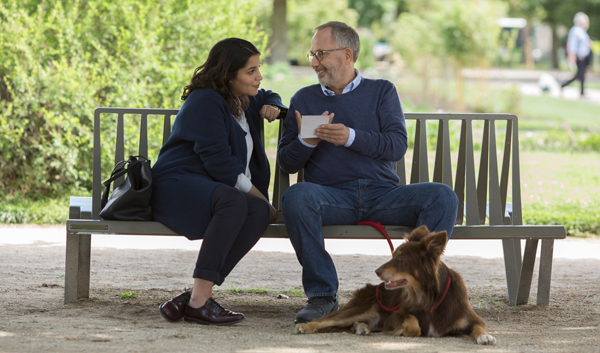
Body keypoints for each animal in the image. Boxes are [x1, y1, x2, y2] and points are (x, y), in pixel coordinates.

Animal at [296, 226, 496, 344]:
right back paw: (306, 327)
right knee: (326, 320)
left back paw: (362, 327)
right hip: (365, 308)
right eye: (394, 256)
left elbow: (480, 326)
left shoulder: (472, 318)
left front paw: (485, 336)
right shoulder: (396, 315)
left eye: (402, 258)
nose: (376, 271)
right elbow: (413, 323)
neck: (430, 298)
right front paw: (405, 331)